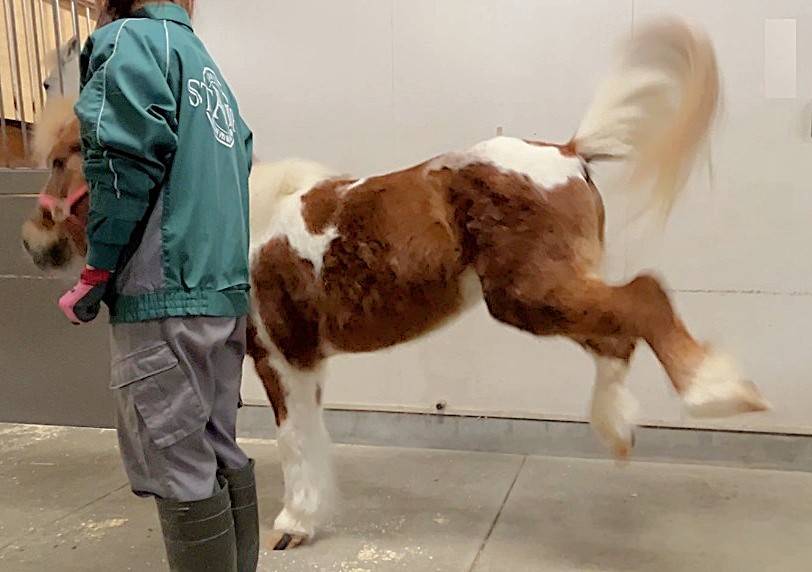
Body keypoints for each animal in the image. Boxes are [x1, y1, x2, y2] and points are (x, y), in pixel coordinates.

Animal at [21, 19, 769, 551]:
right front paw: (311, 517)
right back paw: (620, 429)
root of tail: (567, 152)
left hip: (531, 295)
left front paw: (294, 524)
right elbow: (313, 436)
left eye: (60, 160)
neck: (245, 218)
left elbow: (295, 441)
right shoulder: (303, 361)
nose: (32, 244)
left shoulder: (280, 356)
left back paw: (717, 392)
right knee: (616, 332)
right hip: (545, 293)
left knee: (642, 299)